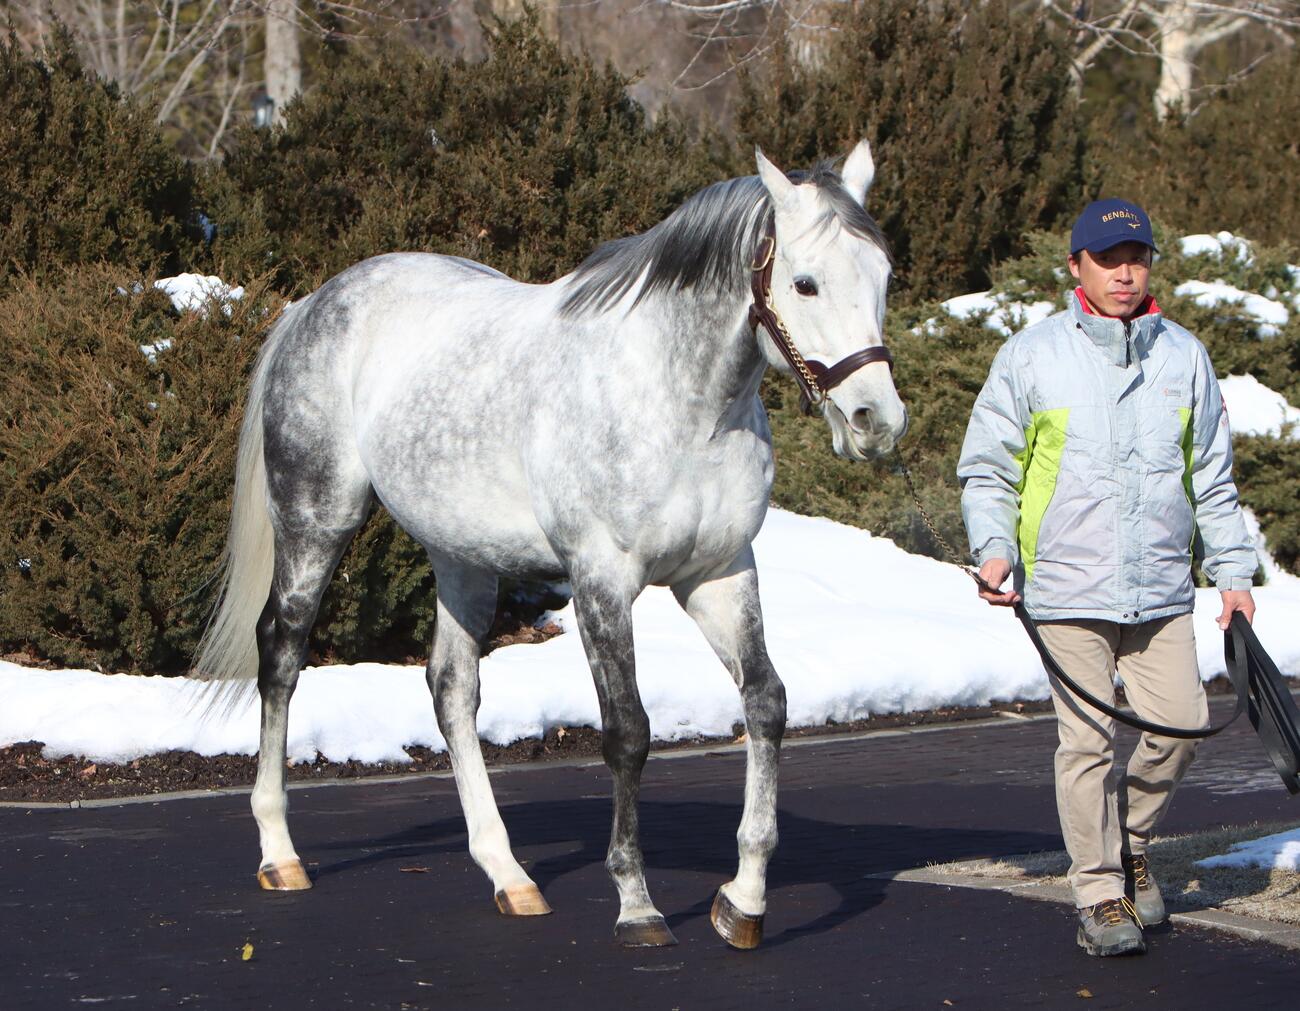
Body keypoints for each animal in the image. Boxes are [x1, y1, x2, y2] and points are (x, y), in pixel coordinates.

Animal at [194, 140, 906, 949]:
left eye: (883, 274)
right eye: (805, 282)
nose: (876, 419)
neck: (679, 404)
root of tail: (312, 307)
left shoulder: (720, 575)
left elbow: (765, 704)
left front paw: (744, 901)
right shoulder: (601, 580)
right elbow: (627, 731)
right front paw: (637, 903)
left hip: (462, 556)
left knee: (451, 688)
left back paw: (509, 874)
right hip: (317, 521)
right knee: (280, 655)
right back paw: (279, 853)